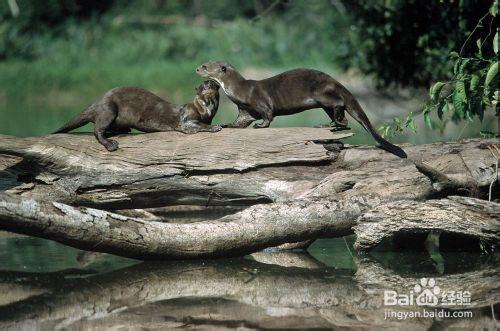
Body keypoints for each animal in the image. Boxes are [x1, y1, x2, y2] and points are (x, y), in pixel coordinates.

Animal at [52, 80, 221, 152]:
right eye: (201, 86)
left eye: (212, 83)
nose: (207, 84)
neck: (205, 110)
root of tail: (97, 101)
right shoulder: (186, 120)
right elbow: (198, 124)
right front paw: (215, 127)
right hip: (108, 109)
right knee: (97, 130)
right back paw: (110, 144)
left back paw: (124, 131)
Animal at [195, 61, 406, 159]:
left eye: (205, 66)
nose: (196, 69)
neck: (240, 90)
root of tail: (337, 82)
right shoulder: (244, 109)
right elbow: (240, 122)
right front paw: (226, 124)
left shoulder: (261, 101)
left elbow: (267, 115)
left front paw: (261, 126)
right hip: (325, 103)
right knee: (342, 118)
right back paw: (328, 125)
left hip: (322, 93)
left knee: (339, 103)